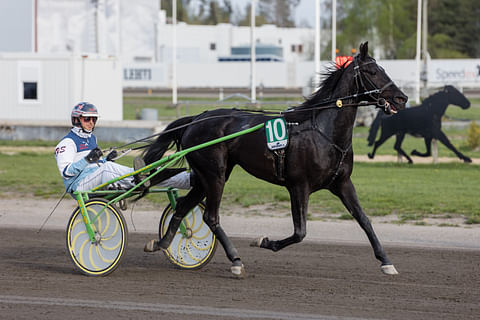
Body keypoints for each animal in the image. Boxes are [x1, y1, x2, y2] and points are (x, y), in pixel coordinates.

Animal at [143, 43, 408, 278]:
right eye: (372, 72)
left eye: (383, 68)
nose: (402, 98)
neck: (323, 131)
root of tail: (196, 118)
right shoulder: (299, 186)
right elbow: (300, 233)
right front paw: (264, 241)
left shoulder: (342, 183)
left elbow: (364, 220)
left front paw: (386, 261)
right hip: (214, 175)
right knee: (210, 216)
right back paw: (235, 260)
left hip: (206, 176)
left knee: (182, 206)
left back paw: (162, 243)